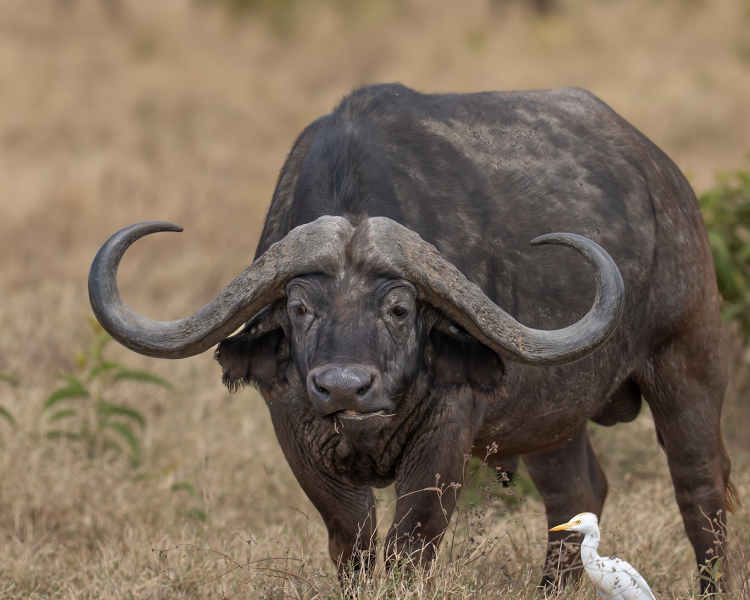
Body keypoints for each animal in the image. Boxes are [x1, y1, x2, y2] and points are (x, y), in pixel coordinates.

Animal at [89, 84, 734, 592]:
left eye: (399, 308)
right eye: (300, 308)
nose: (343, 388)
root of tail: (666, 180)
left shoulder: (444, 438)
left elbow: (408, 544)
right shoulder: (297, 433)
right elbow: (352, 540)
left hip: (688, 360)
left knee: (702, 486)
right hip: (551, 417)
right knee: (576, 493)